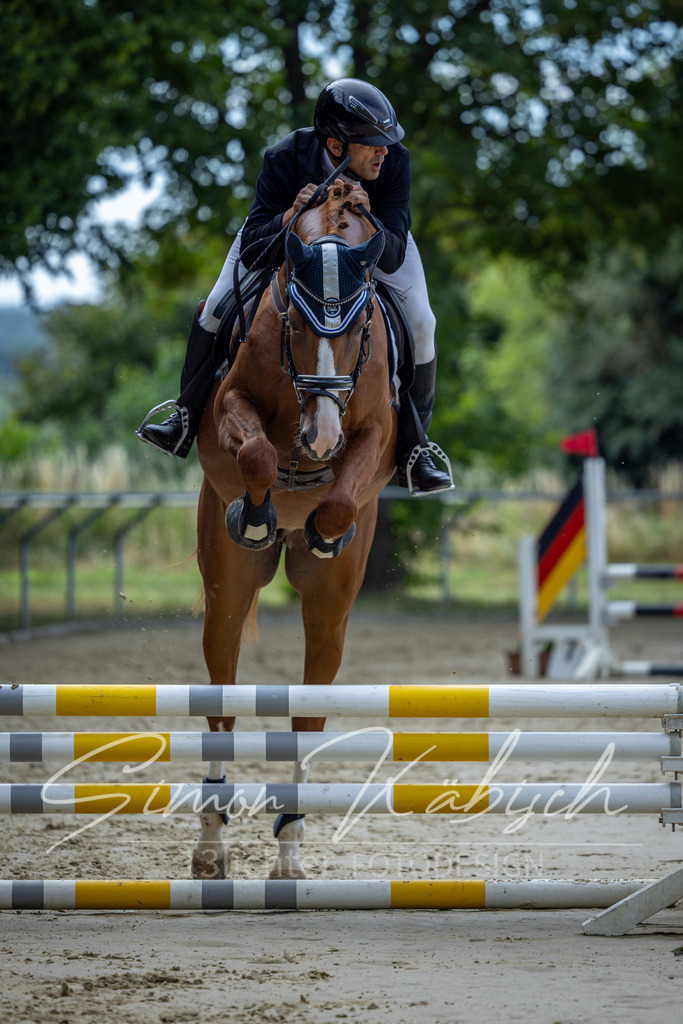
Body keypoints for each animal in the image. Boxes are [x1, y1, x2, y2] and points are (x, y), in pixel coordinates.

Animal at [192, 182, 398, 880]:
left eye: (361, 327)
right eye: (300, 323)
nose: (321, 437)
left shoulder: (376, 434)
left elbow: (337, 499)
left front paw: (324, 527)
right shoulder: (230, 406)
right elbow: (256, 453)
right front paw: (256, 515)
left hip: (330, 609)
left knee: (307, 709)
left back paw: (289, 849)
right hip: (226, 589)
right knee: (221, 695)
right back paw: (211, 845)